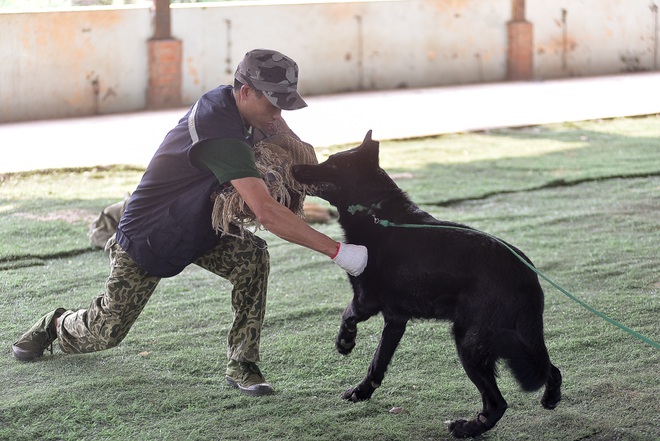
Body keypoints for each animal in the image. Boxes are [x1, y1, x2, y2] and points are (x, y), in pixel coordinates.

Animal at [294, 131, 564, 436]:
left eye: (331, 163)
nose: (293, 167)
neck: (375, 211)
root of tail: (527, 274)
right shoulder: (395, 320)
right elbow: (377, 363)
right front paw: (362, 392)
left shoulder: (366, 300)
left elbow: (347, 313)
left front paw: (345, 341)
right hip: (512, 339)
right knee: (549, 368)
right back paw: (550, 397)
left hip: (472, 341)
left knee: (498, 402)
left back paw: (468, 428)